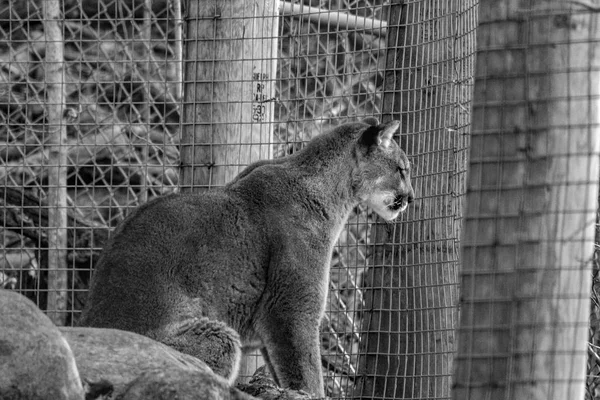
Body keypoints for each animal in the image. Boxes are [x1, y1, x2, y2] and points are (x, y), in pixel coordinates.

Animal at [79, 118, 414, 396]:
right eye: (402, 169)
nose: (411, 197)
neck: (332, 191)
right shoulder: (291, 308)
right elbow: (306, 371)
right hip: (216, 339)